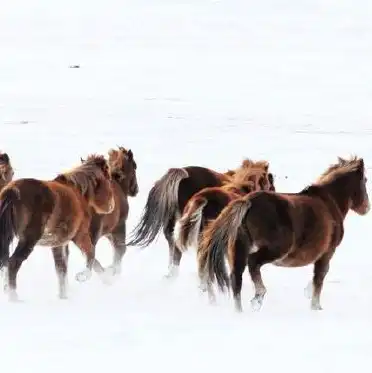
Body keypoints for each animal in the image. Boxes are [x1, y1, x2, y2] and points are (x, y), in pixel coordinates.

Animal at [0, 153, 115, 300]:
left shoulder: (58, 244)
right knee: (13, 263)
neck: (77, 192)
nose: (111, 206)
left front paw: (63, 296)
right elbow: (91, 254)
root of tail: (12, 191)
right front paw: (83, 276)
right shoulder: (80, 236)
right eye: (109, 178)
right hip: (28, 240)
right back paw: (14, 297)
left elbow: (61, 270)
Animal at [72, 145, 139, 282]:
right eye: (135, 166)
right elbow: (121, 249)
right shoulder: (119, 226)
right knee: (90, 251)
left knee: (87, 252)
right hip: (94, 231)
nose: (136, 190)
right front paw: (113, 270)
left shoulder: (108, 232)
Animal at [198, 155, 370, 312]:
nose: (366, 208)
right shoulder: (327, 252)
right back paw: (258, 297)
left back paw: (239, 311)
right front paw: (315, 306)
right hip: (276, 250)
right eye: (366, 180)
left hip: (239, 249)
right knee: (253, 263)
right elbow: (320, 277)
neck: (330, 202)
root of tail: (248, 202)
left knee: (236, 281)